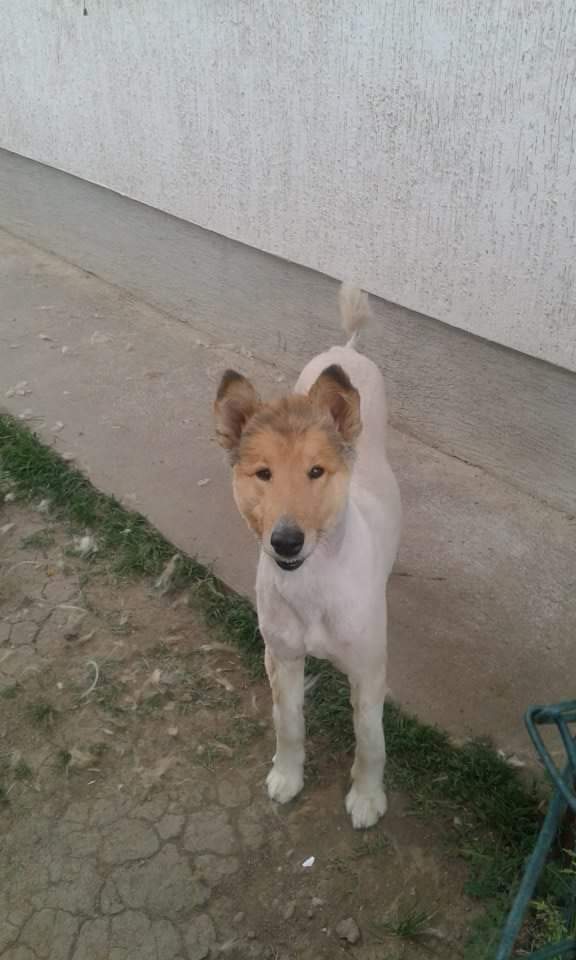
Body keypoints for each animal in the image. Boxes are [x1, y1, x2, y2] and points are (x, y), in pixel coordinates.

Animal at [214, 285, 402, 828]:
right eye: (263, 474)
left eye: (316, 471)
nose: (286, 542)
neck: (313, 584)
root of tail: (348, 349)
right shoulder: (283, 656)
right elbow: (289, 724)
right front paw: (287, 775)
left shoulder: (369, 670)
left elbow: (371, 740)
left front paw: (367, 797)